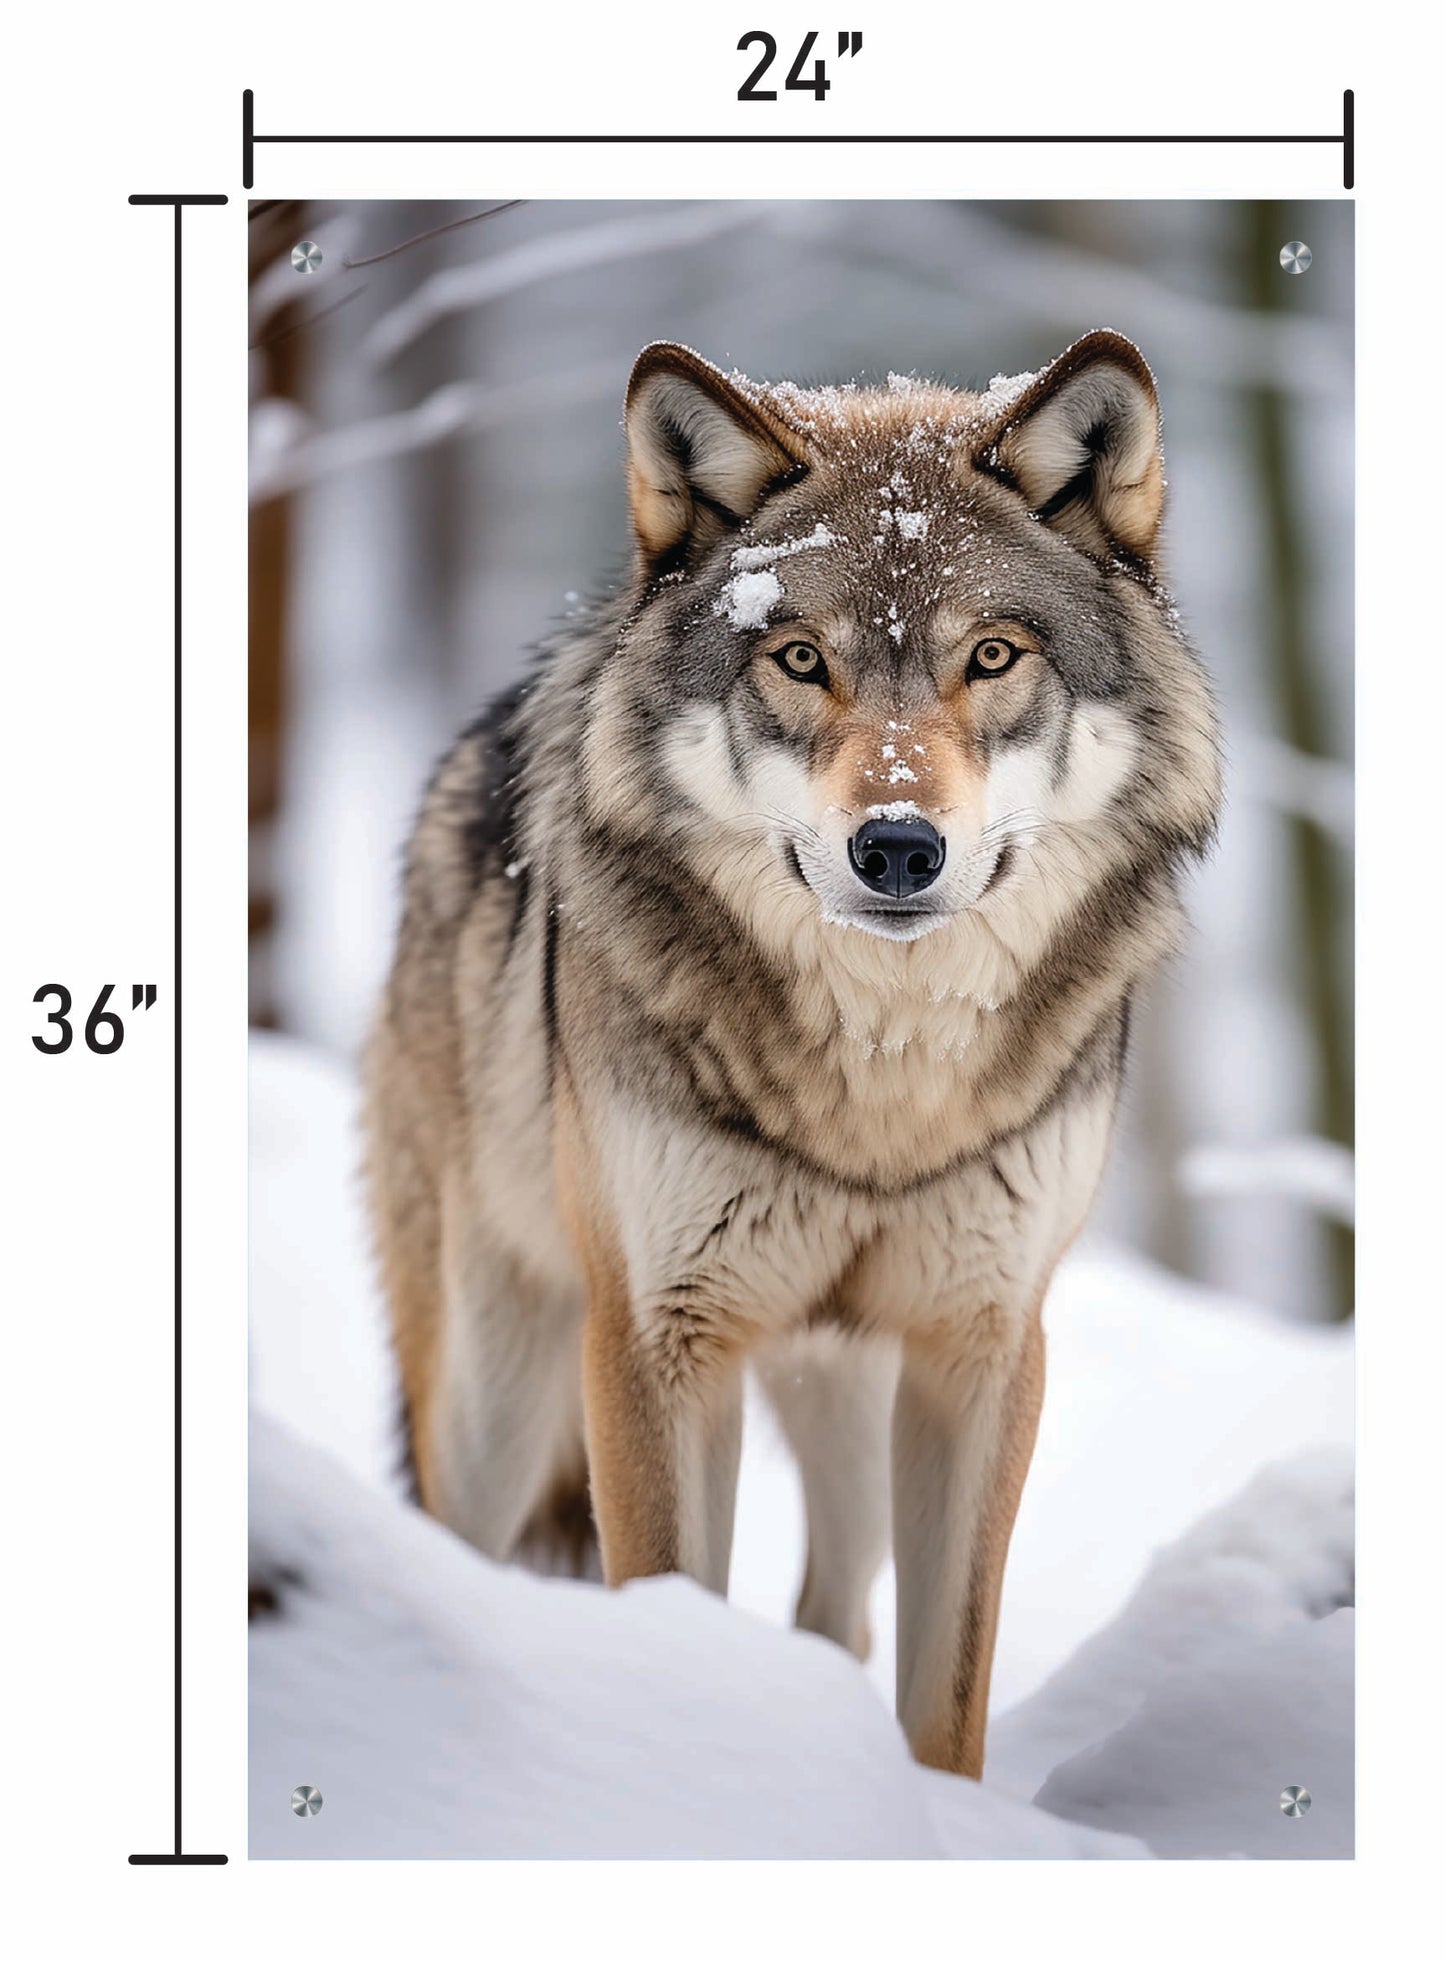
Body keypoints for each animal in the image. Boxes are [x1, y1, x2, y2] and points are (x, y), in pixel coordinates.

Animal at [363, 330, 1221, 1778]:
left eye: (992, 655)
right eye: (802, 659)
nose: (897, 847)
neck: (880, 1082)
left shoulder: (982, 1347)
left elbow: (945, 1693)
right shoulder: (654, 1338)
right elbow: (667, 1609)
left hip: (848, 1398)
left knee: (836, 1614)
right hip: (495, 1392)